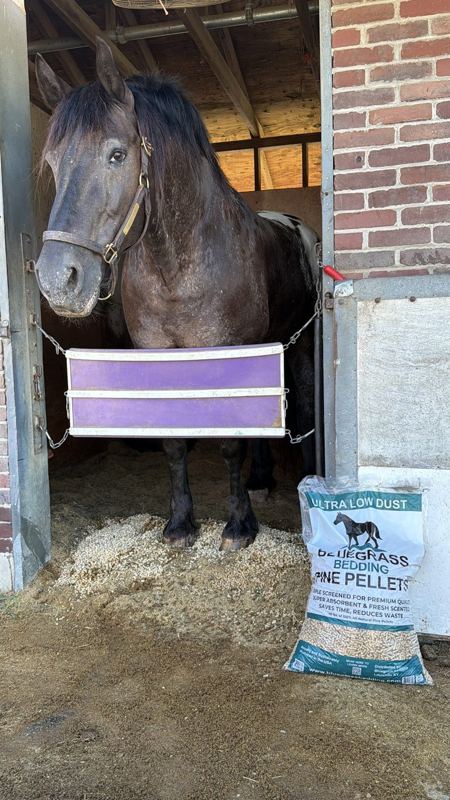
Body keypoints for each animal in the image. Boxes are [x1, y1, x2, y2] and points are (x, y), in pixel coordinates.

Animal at [34, 38, 320, 552]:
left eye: (116, 155)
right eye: (52, 162)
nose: (57, 279)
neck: (179, 265)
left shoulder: (225, 355)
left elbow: (229, 440)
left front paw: (238, 527)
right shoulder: (159, 356)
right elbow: (172, 438)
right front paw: (181, 524)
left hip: (299, 343)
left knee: (301, 406)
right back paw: (261, 481)